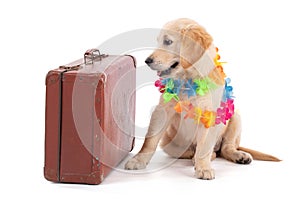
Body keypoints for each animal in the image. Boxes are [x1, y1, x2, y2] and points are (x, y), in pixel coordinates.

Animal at [125, 18, 280, 179]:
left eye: (168, 42)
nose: (147, 60)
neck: (189, 79)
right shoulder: (163, 110)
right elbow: (150, 139)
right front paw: (138, 160)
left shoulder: (209, 113)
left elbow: (204, 144)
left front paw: (204, 168)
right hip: (169, 142)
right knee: (193, 151)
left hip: (235, 116)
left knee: (225, 148)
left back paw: (237, 155)